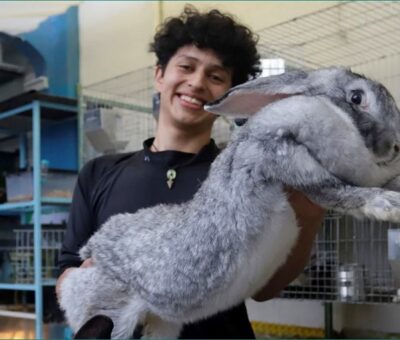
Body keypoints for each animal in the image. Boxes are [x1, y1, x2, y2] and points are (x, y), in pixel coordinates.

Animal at [60, 66, 400, 338]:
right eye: (356, 97)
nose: (395, 146)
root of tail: (91, 251)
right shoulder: (278, 155)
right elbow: (334, 190)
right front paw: (389, 205)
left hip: (161, 324)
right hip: (112, 311)